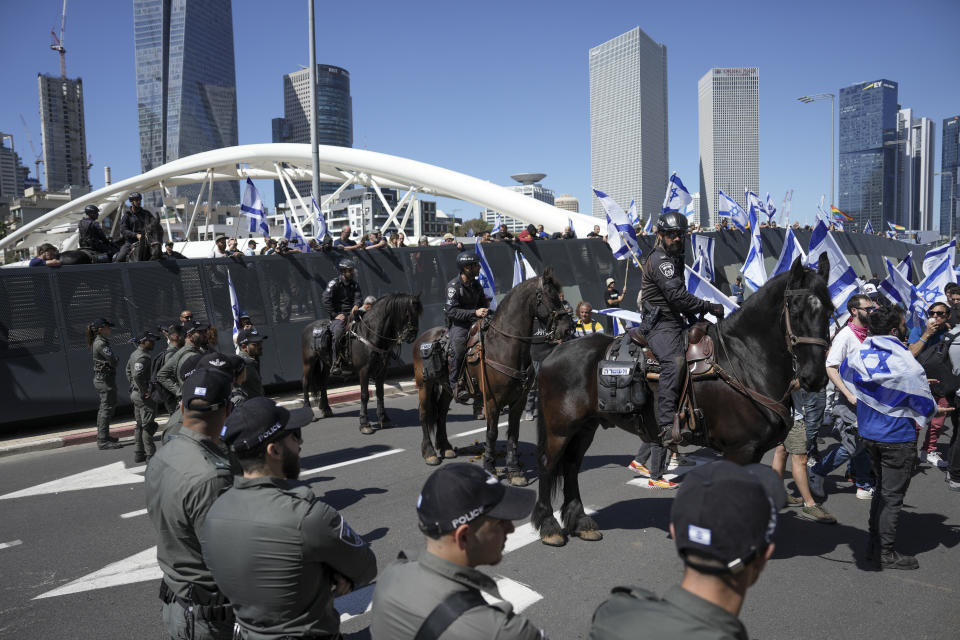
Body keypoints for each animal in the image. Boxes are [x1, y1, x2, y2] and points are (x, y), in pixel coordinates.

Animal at [300, 292, 420, 432]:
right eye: (406, 313)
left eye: (418, 312)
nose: (412, 336)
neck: (370, 334)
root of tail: (308, 327)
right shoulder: (364, 370)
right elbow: (364, 395)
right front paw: (364, 423)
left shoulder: (382, 370)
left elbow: (380, 393)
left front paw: (384, 419)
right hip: (309, 363)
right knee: (306, 383)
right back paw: (310, 413)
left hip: (326, 364)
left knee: (323, 384)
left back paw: (326, 409)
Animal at [532, 255, 832, 544]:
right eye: (795, 310)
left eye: (829, 310)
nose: (815, 377)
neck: (744, 360)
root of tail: (554, 352)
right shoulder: (740, 450)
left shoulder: (753, 452)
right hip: (560, 429)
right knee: (548, 465)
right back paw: (549, 527)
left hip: (585, 427)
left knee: (571, 466)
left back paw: (581, 522)